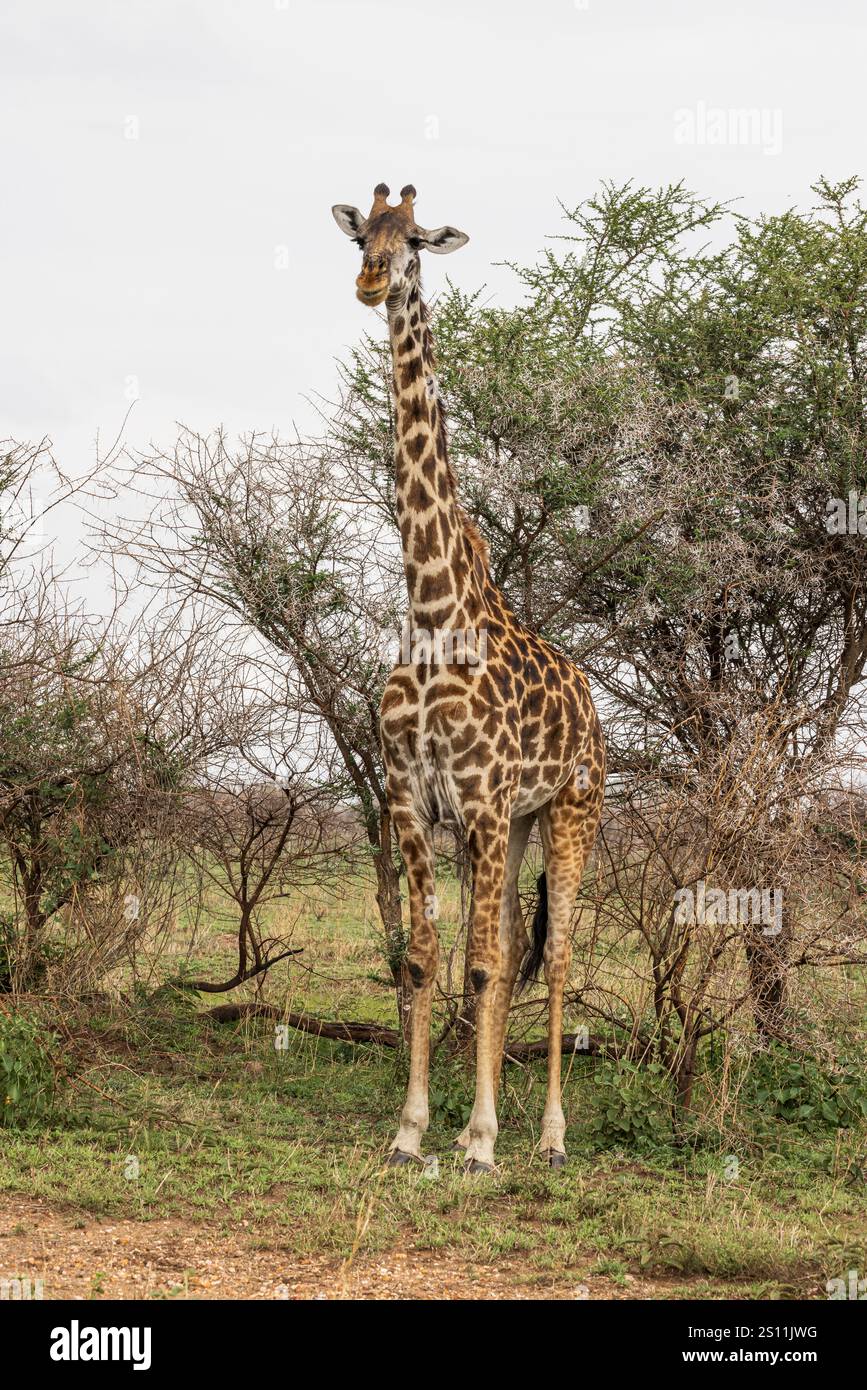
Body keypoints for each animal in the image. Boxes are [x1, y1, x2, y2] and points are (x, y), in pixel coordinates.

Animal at [332, 183, 605, 1172]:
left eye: (414, 239)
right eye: (360, 237)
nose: (372, 281)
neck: (432, 607)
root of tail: (594, 706)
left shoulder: (482, 799)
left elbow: (484, 963)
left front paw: (482, 1141)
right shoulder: (415, 799)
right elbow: (425, 956)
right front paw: (414, 1132)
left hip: (570, 810)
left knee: (553, 952)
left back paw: (550, 1136)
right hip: (517, 823)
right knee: (509, 940)